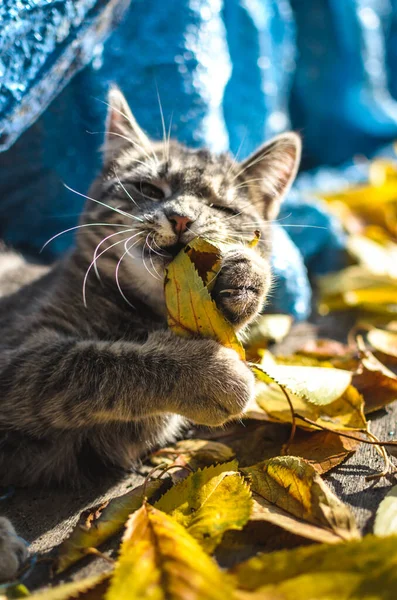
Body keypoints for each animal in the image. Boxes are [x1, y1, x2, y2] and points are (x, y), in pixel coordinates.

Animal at [0, 86, 298, 580]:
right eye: (149, 189)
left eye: (221, 207)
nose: (180, 218)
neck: (138, 313)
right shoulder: (20, 358)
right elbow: (94, 361)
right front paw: (211, 374)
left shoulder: (114, 436)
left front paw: (245, 279)